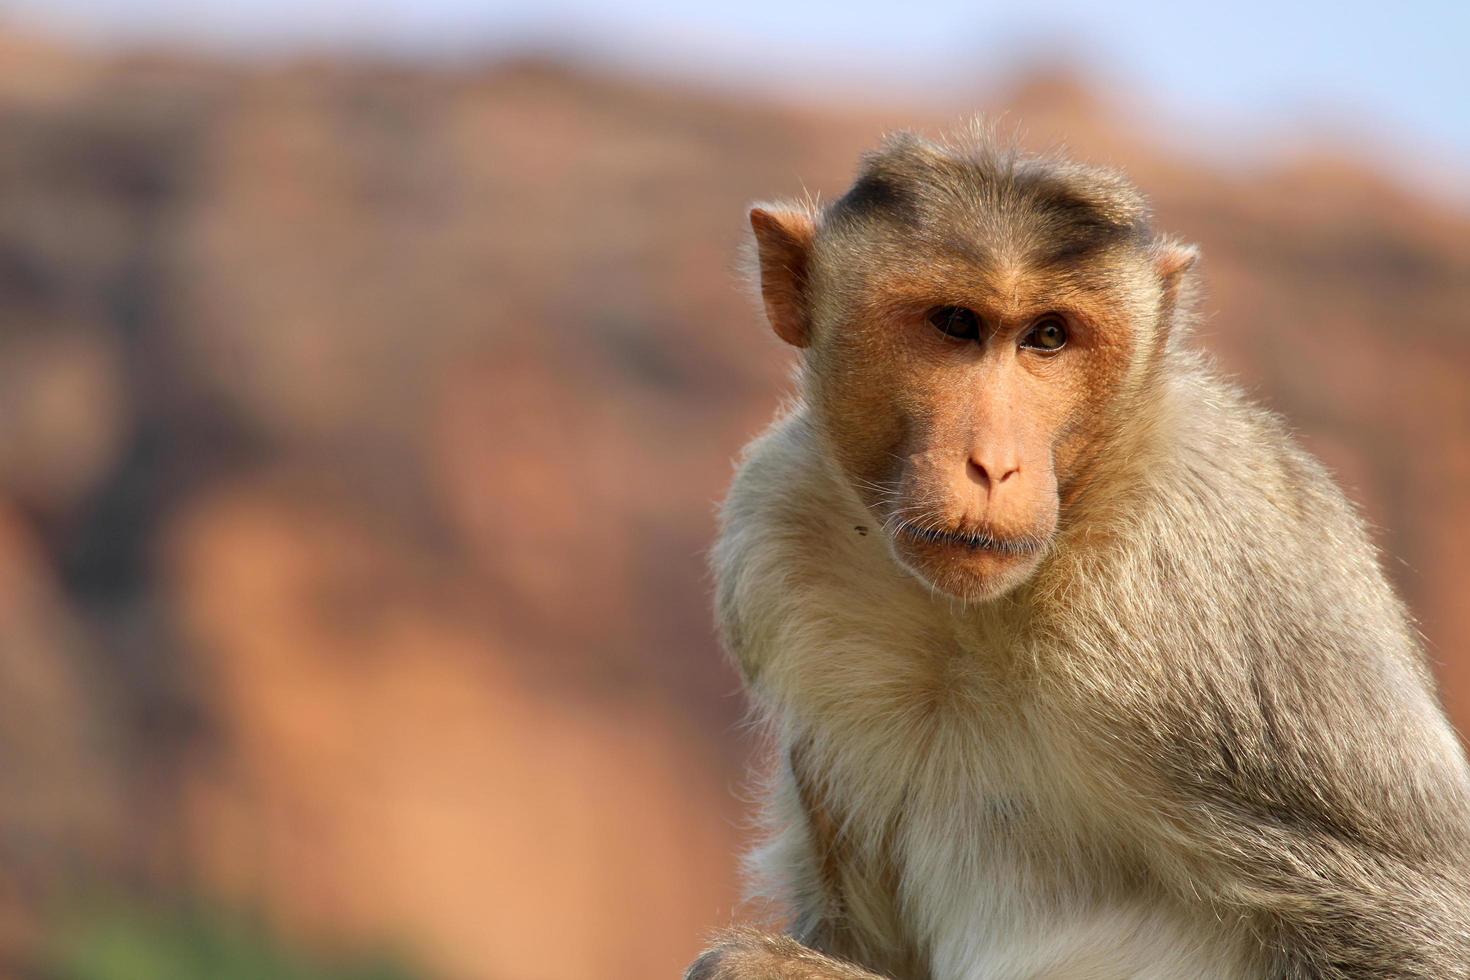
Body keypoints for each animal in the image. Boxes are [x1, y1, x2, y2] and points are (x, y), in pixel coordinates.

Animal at [690, 124, 1470, 980]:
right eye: (955, 323)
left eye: (1049, 337)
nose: (993, 465)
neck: (971, 619)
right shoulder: (777, 532)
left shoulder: (1213, 606)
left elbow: (1422, 930)